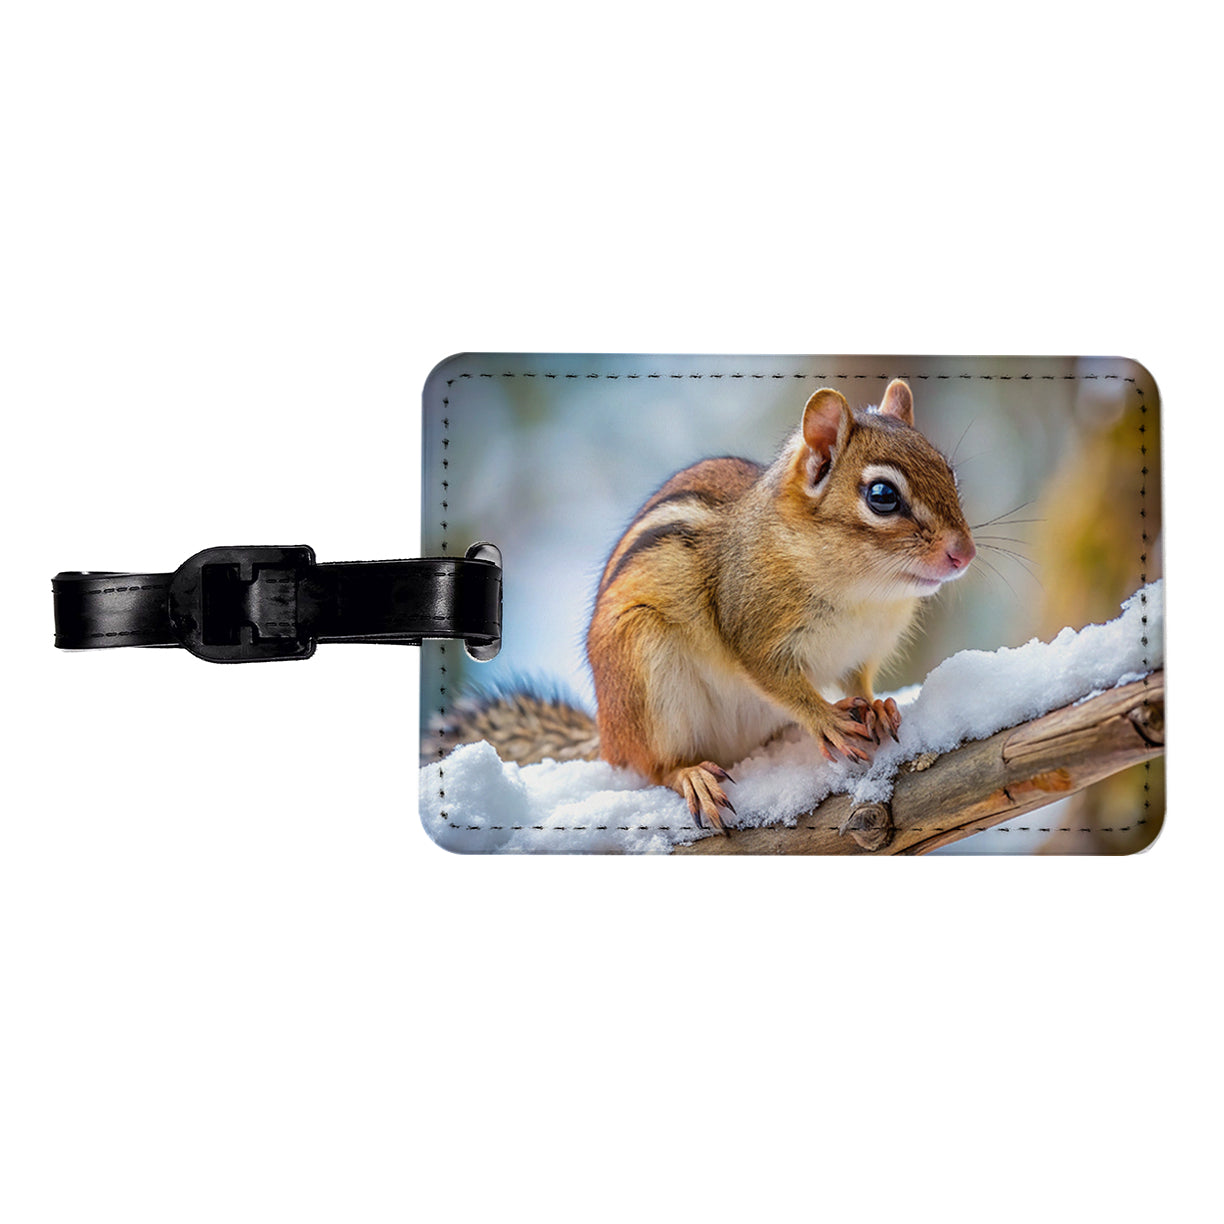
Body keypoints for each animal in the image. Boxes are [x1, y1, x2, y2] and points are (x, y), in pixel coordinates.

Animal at [426, 379, 975, 833]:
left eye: (949, 472)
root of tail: (607, 734)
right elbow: (779, 682)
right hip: (644, 669)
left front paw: (878, 704)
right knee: (651, 766)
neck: (866, 592)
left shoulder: (863, 649)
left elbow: (857, 680)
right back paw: (690, 775)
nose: (964, 553)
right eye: (882, 495)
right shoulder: (750, 627)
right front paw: (825, 719)